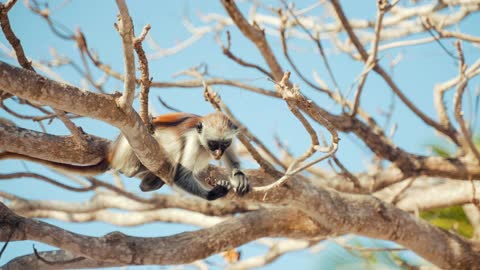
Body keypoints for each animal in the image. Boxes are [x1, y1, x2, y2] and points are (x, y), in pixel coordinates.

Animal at [1, 112, 251, 200]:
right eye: (212, 144)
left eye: (223, 144)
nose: (217, 152)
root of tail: (112, 153)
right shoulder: (192, 139)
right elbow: (182, 175)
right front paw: (213, 193)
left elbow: (233, 161)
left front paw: (239, 176)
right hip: (129, 147)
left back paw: (150, 183)